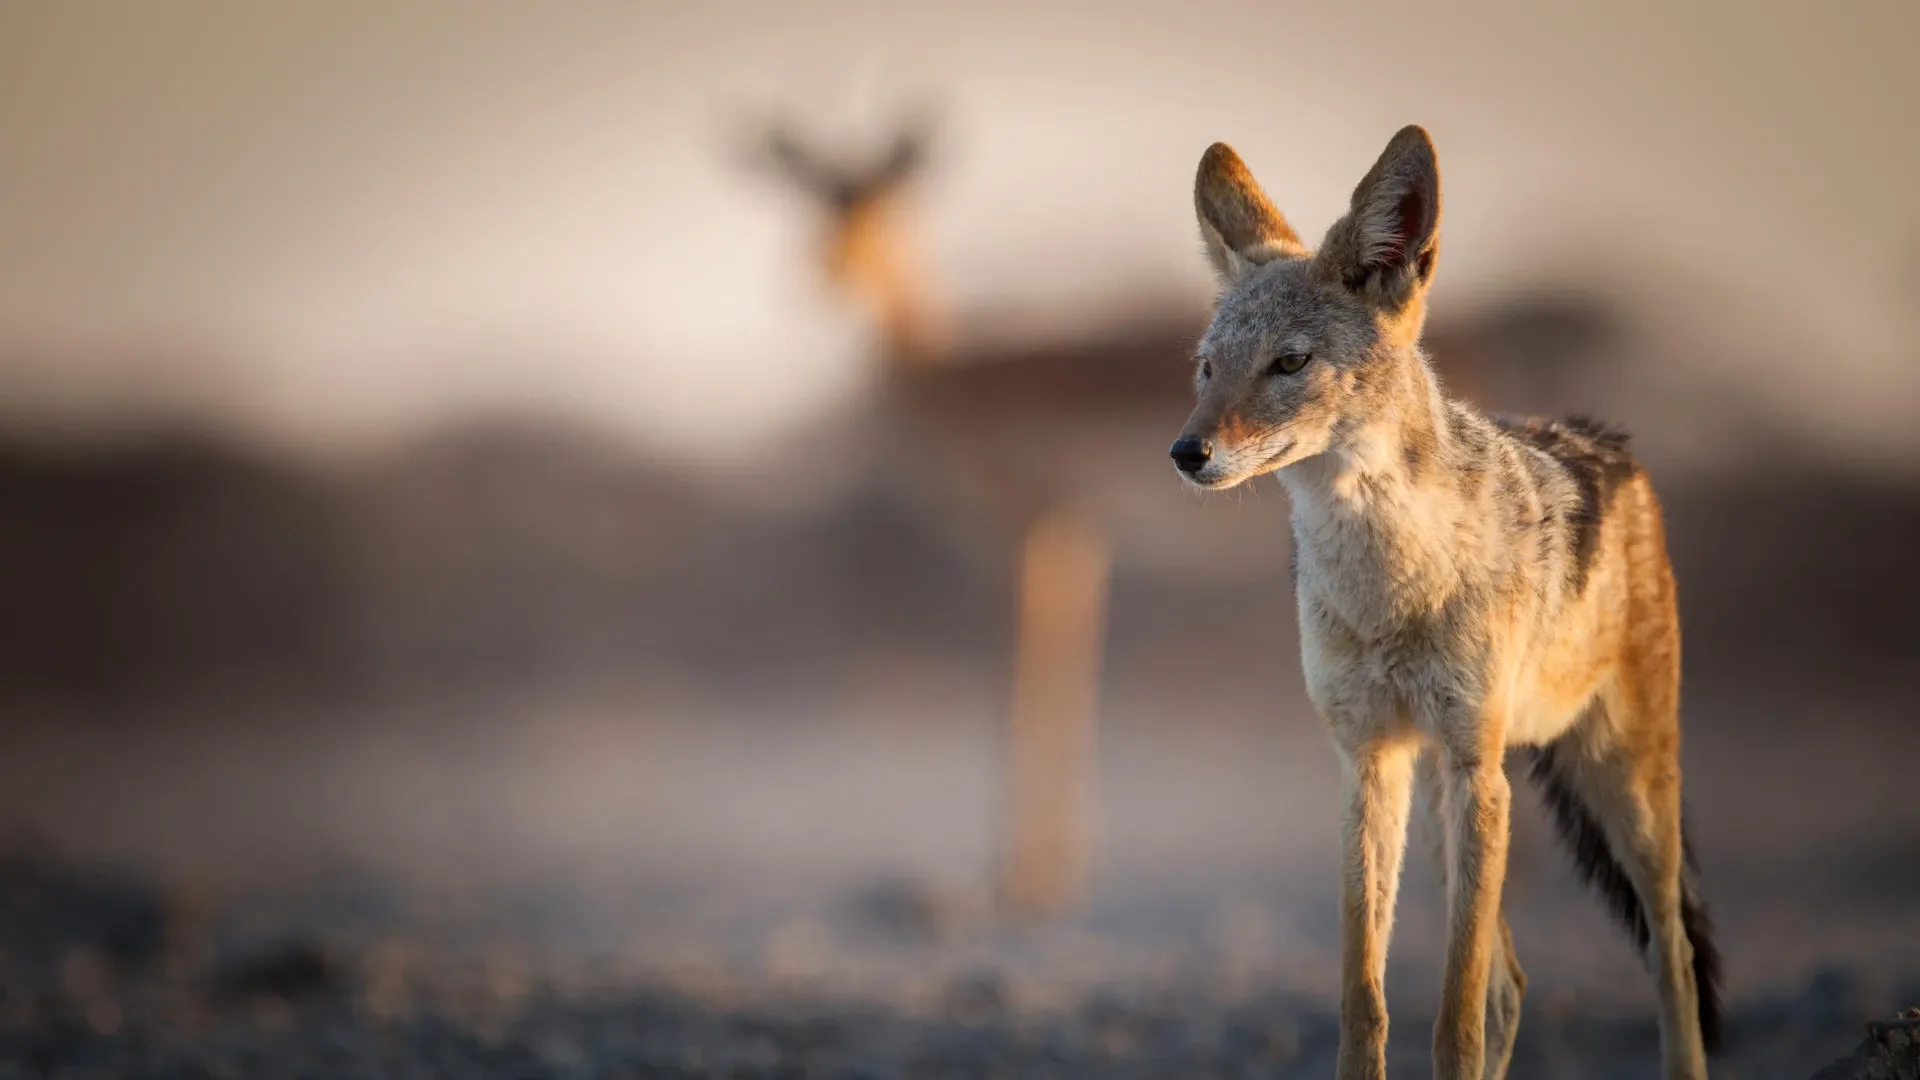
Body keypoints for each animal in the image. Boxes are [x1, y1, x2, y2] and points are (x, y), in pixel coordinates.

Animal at [1169, 125, 1722, 1080]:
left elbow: (1453, 1016)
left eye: (1289, 363)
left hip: (1625, 794)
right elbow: (1367, 1000)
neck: (1390, 587)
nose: (1186, 452)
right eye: (1208, 369)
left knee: (1669, 953)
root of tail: (1610, 443)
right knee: (1512, 985)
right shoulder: (1367, 764)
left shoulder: (1476, 771)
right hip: (1437, 813)